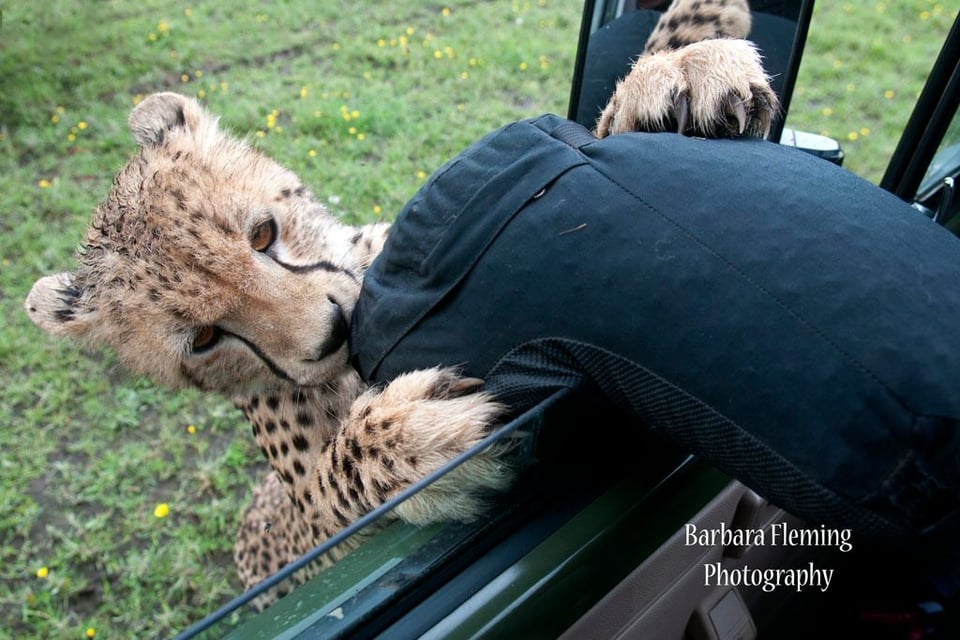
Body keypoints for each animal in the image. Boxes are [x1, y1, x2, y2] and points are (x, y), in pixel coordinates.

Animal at [26, 0, 776, 608]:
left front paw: (682, 65)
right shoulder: (324, 531)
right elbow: (335, 490)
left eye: (262, 233)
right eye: (205, 339)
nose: (330, 332)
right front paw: (414, 439)